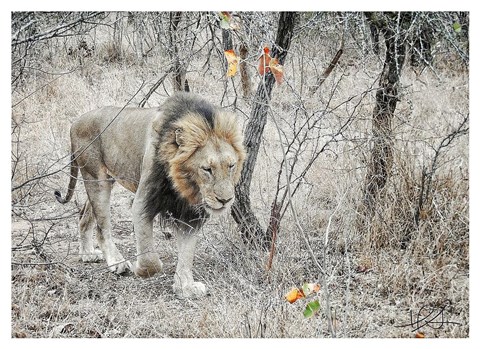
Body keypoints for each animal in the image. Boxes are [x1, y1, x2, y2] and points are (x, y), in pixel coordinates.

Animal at [54, 92, 246, 296]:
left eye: (231, 166)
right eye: (207, 169)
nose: (225, 200)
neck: (184, 185)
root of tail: (75, 122)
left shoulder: (190, 214)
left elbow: (187, 253)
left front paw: (185, 287)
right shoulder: (143, 202)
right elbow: (150, 258)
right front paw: (141, 269)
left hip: (105, 179)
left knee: (84, 216)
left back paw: (87, 254)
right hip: (96, 179)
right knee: (102, 226)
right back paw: (117, 262)